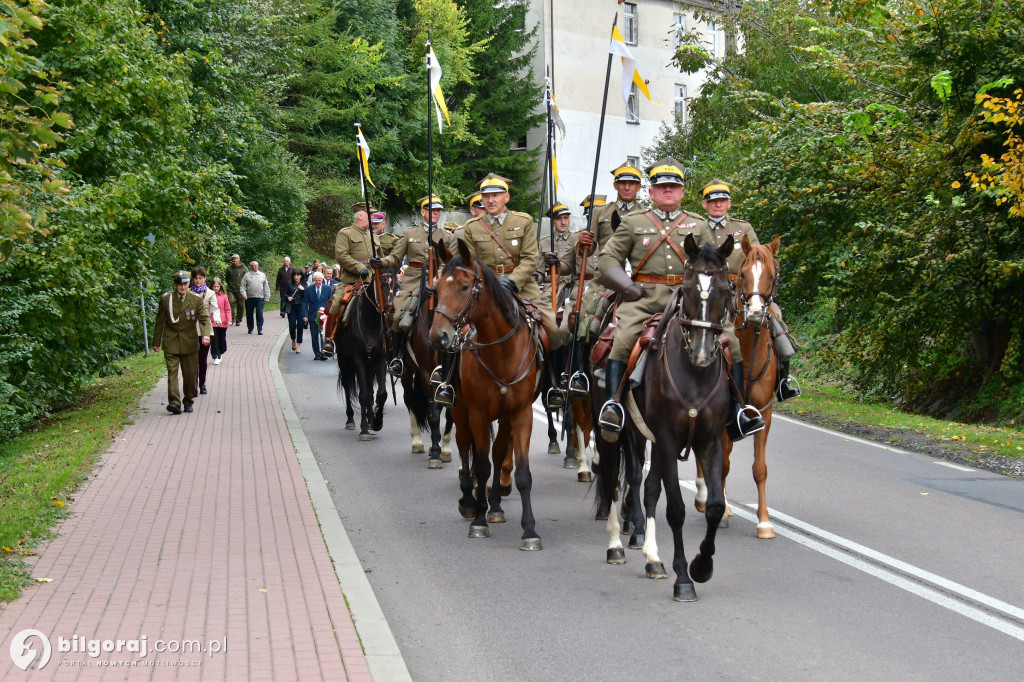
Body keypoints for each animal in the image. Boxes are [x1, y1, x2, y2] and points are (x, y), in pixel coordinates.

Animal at [333, 278, 389, 438]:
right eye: (380, 281)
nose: (389, 306)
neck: (370, 320)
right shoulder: (358, 359)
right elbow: (362, 394)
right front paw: (364, 429)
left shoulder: (380, 359)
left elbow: (380, 393)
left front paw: (376, 422)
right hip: (343, 358)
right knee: (347, 386)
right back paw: (350, 419)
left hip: (369, 365)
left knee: (369, 389)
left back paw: (370, 420)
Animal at [428, 237, 548, 548]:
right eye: (436, 288)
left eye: (464, 286)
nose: (438, 337)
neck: (500, 352)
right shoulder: (478, 414)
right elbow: (480, 465)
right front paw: (479, 520)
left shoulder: (520, 414)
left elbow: (521, 471)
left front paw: (529, 530)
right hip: (460, 411)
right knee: (464, 448)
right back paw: (470, 501)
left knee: (497, 453)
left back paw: (493, 505)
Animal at [622, 235, 737, 602]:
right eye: (686, 288)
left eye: (726, 289)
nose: (702, 353)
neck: (695, 375)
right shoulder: (669, 440)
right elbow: (676, 509)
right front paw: (684, 577)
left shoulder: (709, 441)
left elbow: (714, 505)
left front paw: (702, 565)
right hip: (633, 433)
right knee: (631, 479)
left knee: (649, 488)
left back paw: (652, 557)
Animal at [696, 233, 782, 536]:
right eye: (743, 274)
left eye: (772, 275)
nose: (755, 312)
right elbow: (721, 464)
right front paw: (720, 512)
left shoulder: (763, 414)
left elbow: (760, 468)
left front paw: (765, 522)